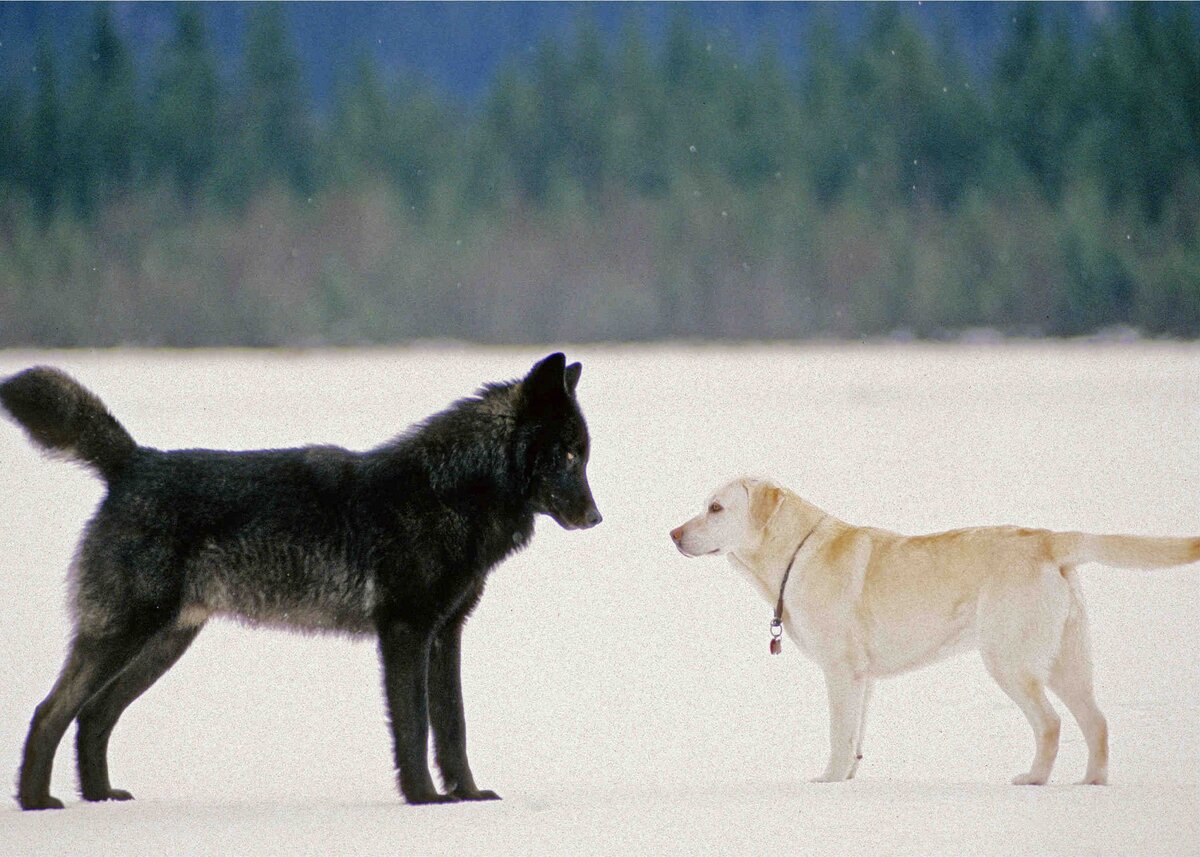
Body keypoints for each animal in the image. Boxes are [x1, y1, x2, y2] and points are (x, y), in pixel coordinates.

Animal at [0, 350, 600, 806]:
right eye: (569, 454)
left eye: (585, 455)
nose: (597, 518)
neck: (446, 492)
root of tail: (133, 461)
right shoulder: (405, 633)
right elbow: (415, 726)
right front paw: (424, 799)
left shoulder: (445, 634)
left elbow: (453, 727)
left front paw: (468, 796)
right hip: (125, 634)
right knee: (50, 712)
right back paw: (37, 802)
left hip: (164, 643)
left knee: (93, 715)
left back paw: (100, 798)